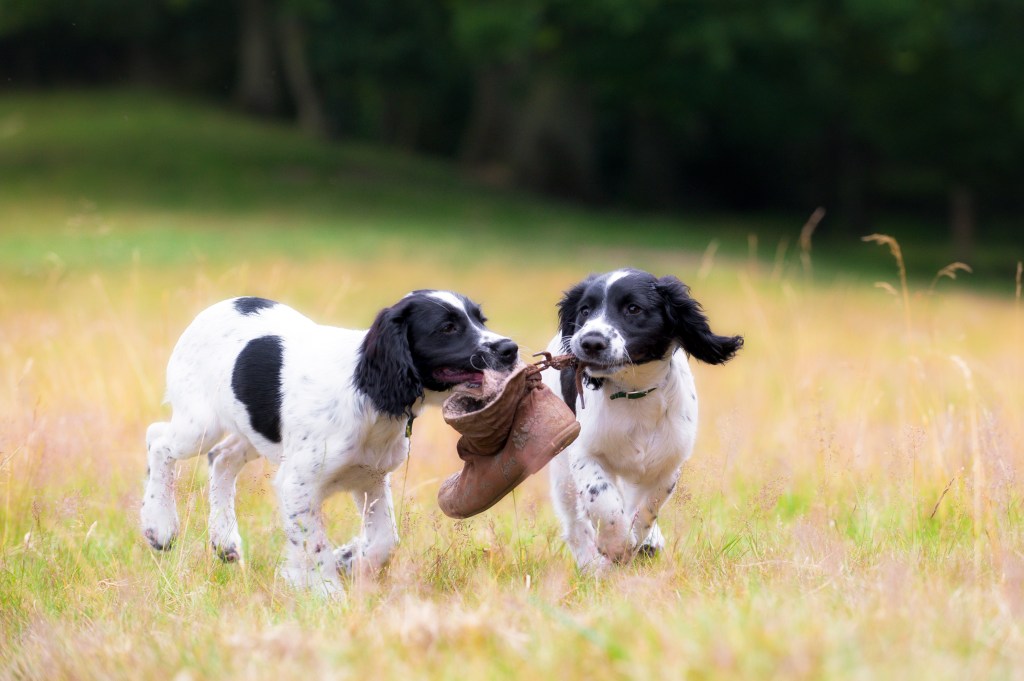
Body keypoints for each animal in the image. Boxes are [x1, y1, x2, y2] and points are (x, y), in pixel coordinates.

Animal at [140, 292, 516, 593]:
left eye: (480, 319)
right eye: (447, 327)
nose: (510, 349)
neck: (366, 392)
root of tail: (218, 306)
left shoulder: (370, 478)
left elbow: (384, 541)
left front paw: (348, 560)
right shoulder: (298, 483)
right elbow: (313, 545)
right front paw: (326, 592)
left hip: (253, 429)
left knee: (222, 458)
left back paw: (224, 540)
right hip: (200, 424)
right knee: (158, 439)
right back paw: (159, 525)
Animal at [544, 268, 745, 569]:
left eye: (633, 309)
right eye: (585, 310)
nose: (590, 341)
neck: (634, 393)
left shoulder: (666, 464)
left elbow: (648, 506)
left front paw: (639, 540)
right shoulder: (585, 453)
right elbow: (602, 499)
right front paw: (616, 545)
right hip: (562, 472)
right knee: (574, 524)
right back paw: (593, 567)